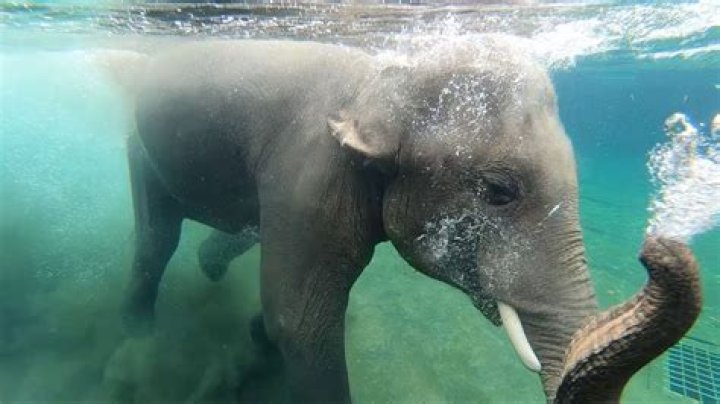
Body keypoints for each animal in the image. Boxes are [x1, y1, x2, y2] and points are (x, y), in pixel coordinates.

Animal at [121, 39, 702, 402]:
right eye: (499, 192)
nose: (655, 251)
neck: (380, 80)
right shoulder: (308, 177)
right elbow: (300, 323)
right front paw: (268, 340)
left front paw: (255, 335)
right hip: (139, 151)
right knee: (156, 240)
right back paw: (139, 340)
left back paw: (208, 269)